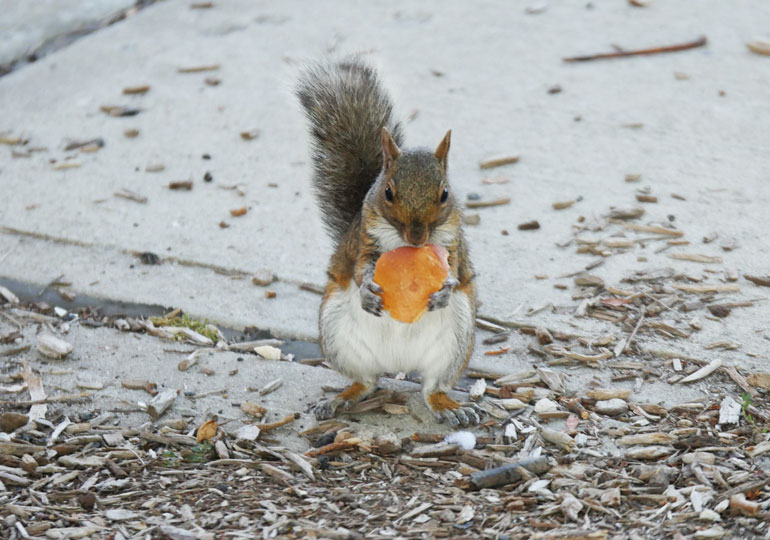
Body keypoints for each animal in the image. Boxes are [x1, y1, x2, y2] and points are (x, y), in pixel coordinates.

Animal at [296, 61, 480, 426]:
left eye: (445, 193)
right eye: (388, 192)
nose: (417, 236)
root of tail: (398, 363)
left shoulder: (453, 243)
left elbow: (453, 270)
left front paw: (444, 291)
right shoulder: (363, 242)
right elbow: (360, 269)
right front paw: (368, 289)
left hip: (457, 340)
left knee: (432, 387)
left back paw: (449, 406)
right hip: (337, 334)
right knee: (366, 381)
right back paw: (339, 399)